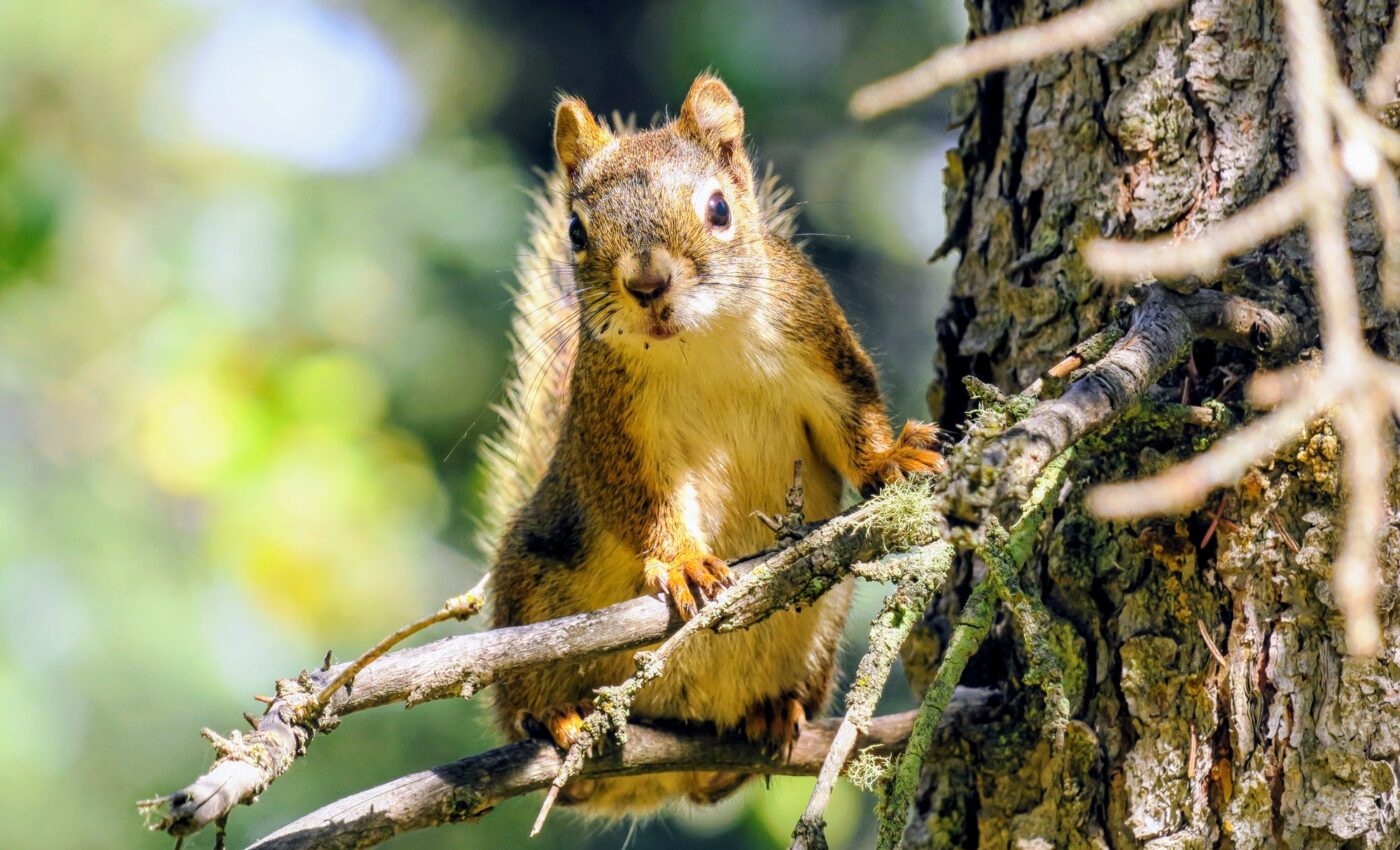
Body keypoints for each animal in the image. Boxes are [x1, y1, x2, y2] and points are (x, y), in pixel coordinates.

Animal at [483, 73, 944, 814]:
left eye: (720, 209)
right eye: (576, 231)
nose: (647, 284)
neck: (700, 343)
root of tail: (665, 771)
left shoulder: (818, 341)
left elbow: (854, 421)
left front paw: (890, 457)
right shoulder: (614, 427)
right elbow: (640, 503)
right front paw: (684, 563)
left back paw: (769, 713)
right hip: (531, 590)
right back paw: (555, 717)